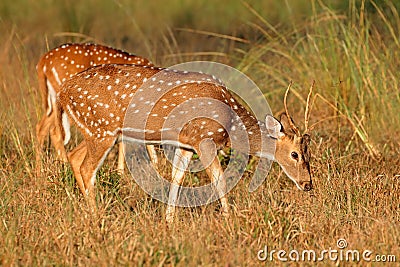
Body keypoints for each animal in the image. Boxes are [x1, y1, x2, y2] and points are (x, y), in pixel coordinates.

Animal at [35, 42, 153, 176]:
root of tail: (43, 62)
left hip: (54, 102)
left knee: (41, 127)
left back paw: (40, 171)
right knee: (56, 131)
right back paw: (64, 167)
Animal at [56, 65, 312, 224]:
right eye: (295, 154)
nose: (308, 184)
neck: (230, 124)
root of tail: (62, 92)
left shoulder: (186, 143)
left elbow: (176, 177)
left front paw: (169, 220)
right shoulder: (203, 138)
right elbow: (219, 178)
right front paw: (229, 218)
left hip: (96, 131)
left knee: (74, 156)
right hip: (102, 128)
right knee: (87, 167)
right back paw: (96, 216)